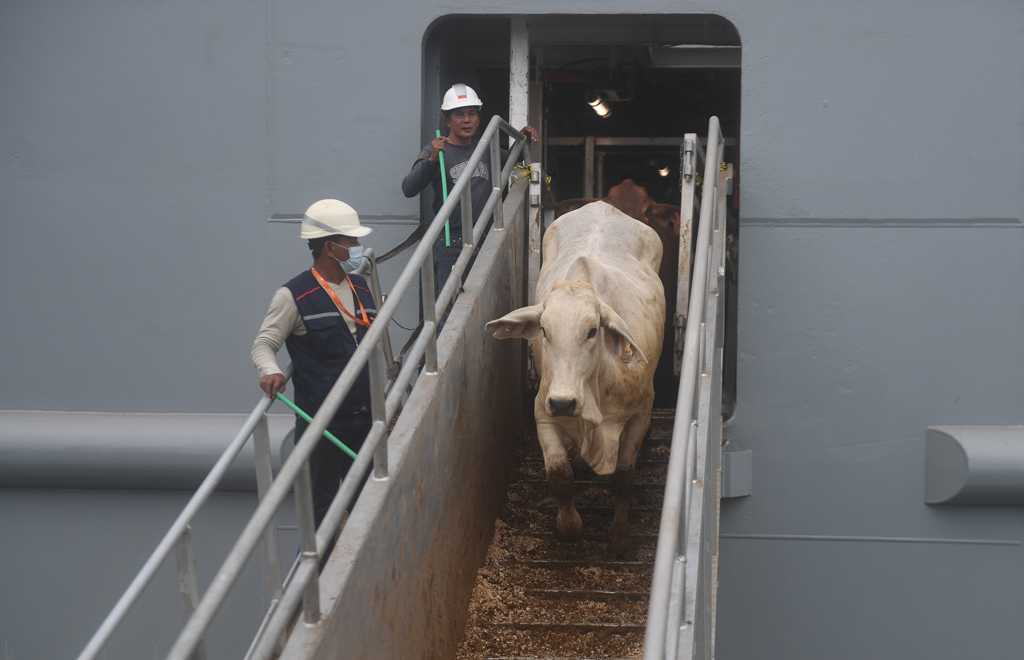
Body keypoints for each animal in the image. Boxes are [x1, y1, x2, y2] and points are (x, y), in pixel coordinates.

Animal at [485, 199, 663, 552]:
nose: (564, 402)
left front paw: (619, 536)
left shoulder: (640, 414)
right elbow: (560, 476)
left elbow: (624, 478)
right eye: (543, 330)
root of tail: (603, 205)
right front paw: (569, 527)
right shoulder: (543, 412)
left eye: (592, 331)